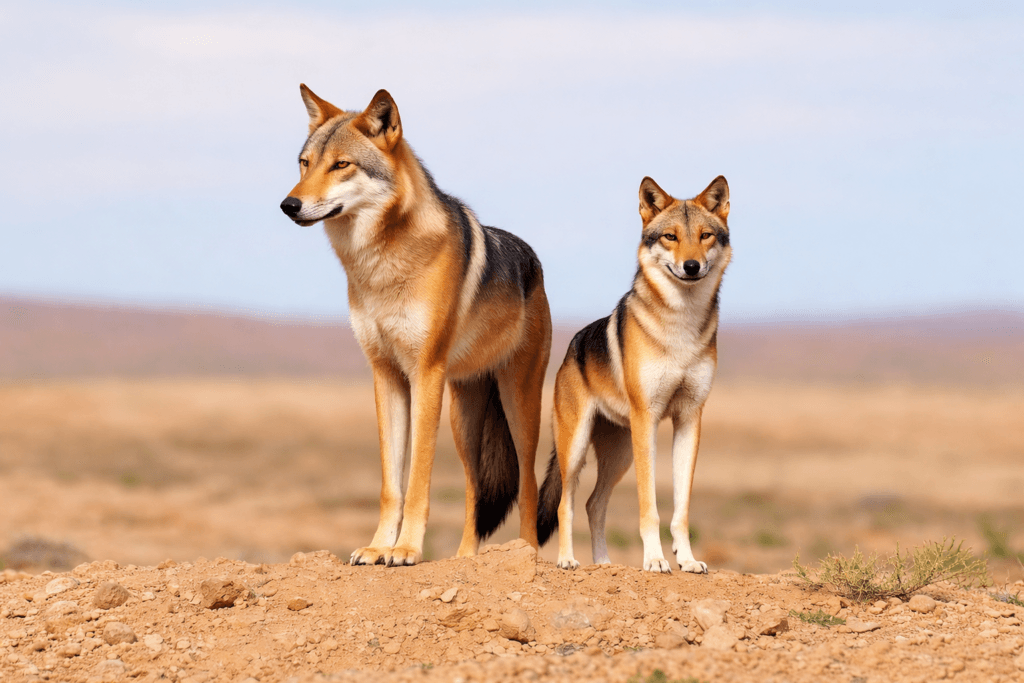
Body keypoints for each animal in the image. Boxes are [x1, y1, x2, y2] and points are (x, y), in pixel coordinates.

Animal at [280, 86, 552, 566]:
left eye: (341, 164)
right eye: (304, 163)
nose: (288, 204)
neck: (379, 266)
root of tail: (532, 259)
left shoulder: (425, 374)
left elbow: (419, 479)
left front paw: (405, 550)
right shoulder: (386, 374)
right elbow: (393, 484)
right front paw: (377, 547)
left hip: (519, 407)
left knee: (528, 484)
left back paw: (526, 554)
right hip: (465, 422)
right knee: (475, 491)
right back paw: (464, 558)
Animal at [536, 176, 732, 573]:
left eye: (705, 236)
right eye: (670, 237)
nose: (691, 266)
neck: (680, 326)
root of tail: (571, 349)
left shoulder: (689, 418)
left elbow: (681, 510)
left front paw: (688, 561)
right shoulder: (649, 419)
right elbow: (650, 508)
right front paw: (655, 560)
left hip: (620, 455)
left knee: (594, 504)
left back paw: (604, 563)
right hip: (577, 450)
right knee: (566, 504)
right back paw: (568, 560)